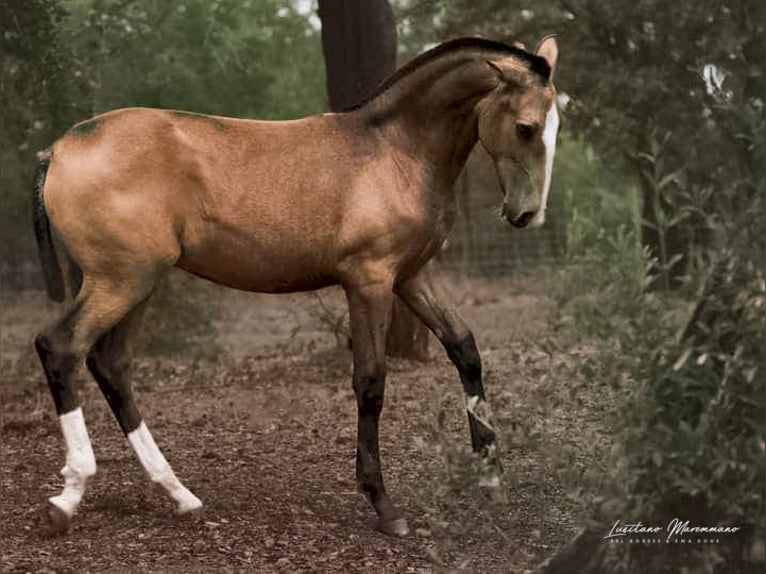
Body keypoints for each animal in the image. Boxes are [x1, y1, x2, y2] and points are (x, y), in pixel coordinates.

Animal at [33, 36, 560, 540]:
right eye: (526, 127)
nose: (526, 214)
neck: (396, 149)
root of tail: (57, 150)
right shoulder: (369, 280)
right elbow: (371, 380)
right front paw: (383, 505)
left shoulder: (412, 275)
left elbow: (465, 350)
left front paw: (491, 479)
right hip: (121, 281)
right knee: (60, 348)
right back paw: (69, 496)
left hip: (137, 284)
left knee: (111, 364)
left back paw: (180, 495)